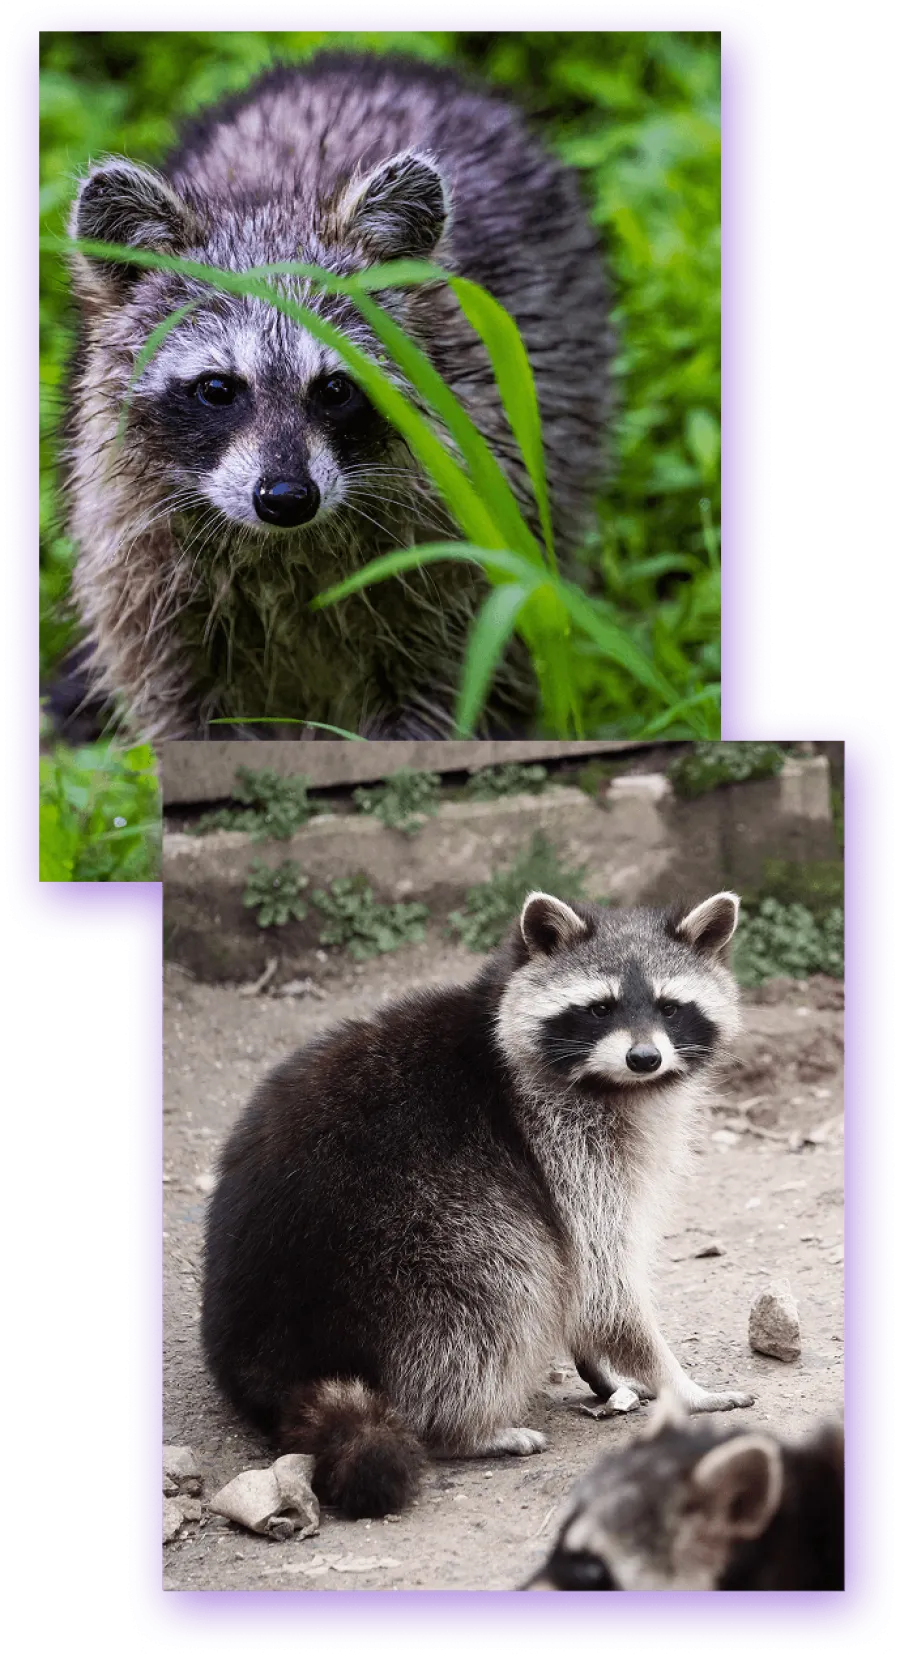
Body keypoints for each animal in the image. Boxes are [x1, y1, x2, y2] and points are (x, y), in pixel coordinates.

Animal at [62, 52, 614, 743]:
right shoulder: (144, 573)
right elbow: (184, 710)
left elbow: (448, 687)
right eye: (218, 388)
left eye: (336, 388)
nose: (286, 498)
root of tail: (374, 63)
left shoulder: (459, 539)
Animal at [201, 889, 752, 1520]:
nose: (644, 1058)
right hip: (415, 1238)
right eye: (599, 1009)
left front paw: (604, 1369)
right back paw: (463, 1429)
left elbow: (586, 1289)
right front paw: (679, 1384)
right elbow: (602, 1283)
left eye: (669, 1006)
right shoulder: (559, 1143)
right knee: (500, 1281)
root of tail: (274, 1363)